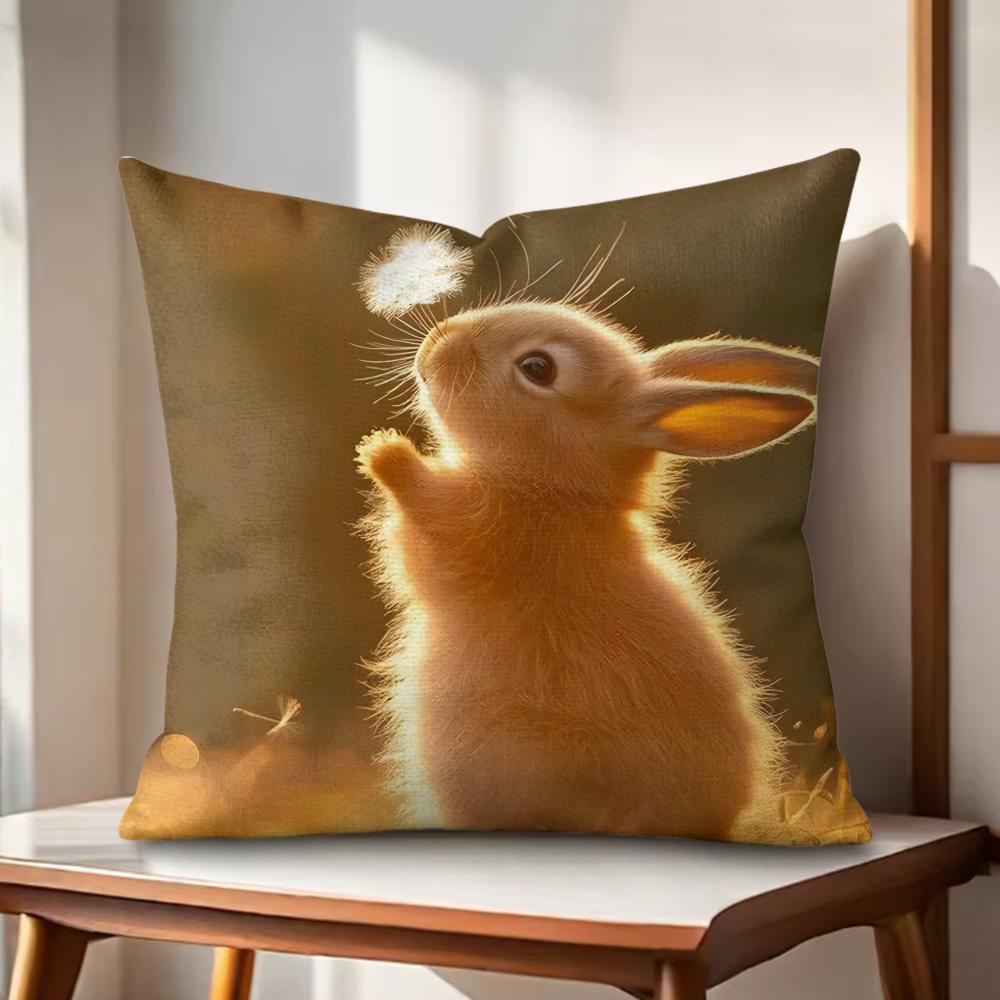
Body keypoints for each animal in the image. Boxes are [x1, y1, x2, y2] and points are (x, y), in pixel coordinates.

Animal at [355, 298, 819, 841]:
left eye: (538, 368)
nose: (435, 342)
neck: (555, 487)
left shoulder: (477, 539)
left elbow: (425, 524)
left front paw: (384, 451)